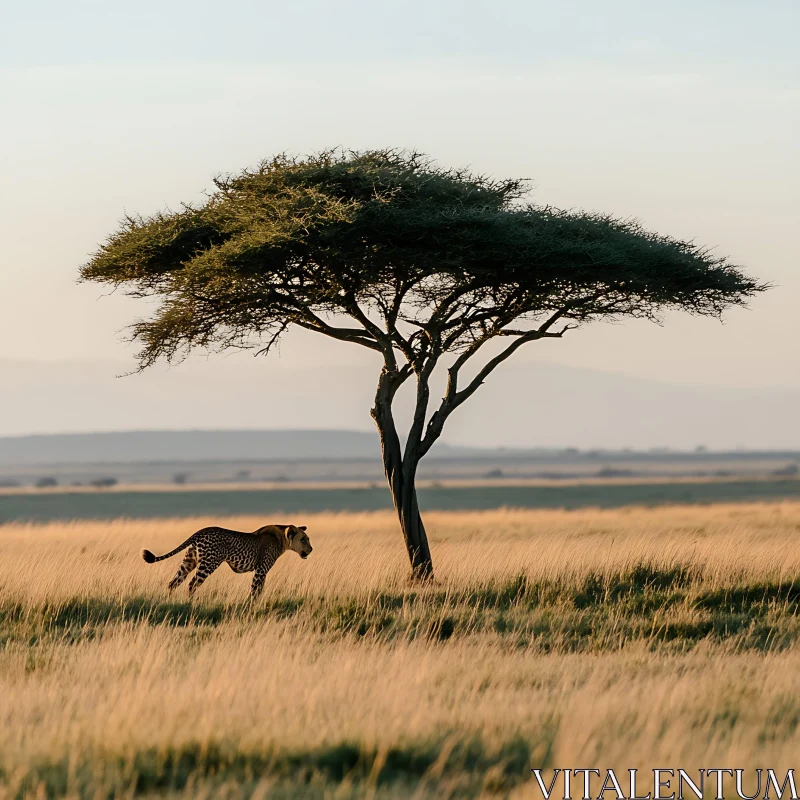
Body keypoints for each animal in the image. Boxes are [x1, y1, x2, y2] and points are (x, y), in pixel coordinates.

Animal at [142, 520, 310, 596]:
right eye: (303, 539)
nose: (311, 548)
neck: (282, 539)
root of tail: (200, 531)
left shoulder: (262, 572)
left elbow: (260, 589)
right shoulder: (261, 570)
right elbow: (255, 589)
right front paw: (251, 605)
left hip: (189, 562)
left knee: (174, 582)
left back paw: (172, 601)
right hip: (208, 564)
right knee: (192, 584)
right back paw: (192, 603)